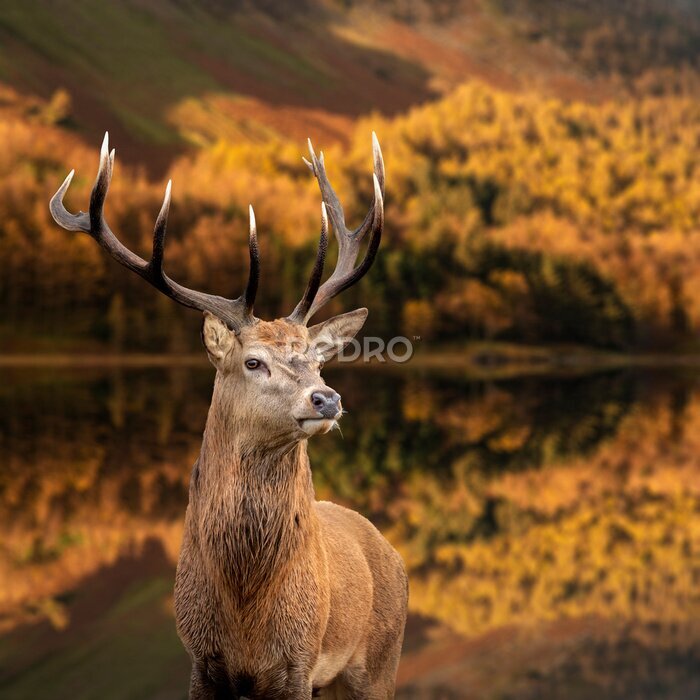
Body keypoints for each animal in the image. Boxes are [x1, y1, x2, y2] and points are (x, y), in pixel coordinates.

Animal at [50, 132, 408, 699]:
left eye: (318, 360)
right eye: (253, 361)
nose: (326, 399)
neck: (245, 612)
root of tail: (390, 551)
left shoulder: (299, 663)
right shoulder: (200, 659)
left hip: (378, 663)